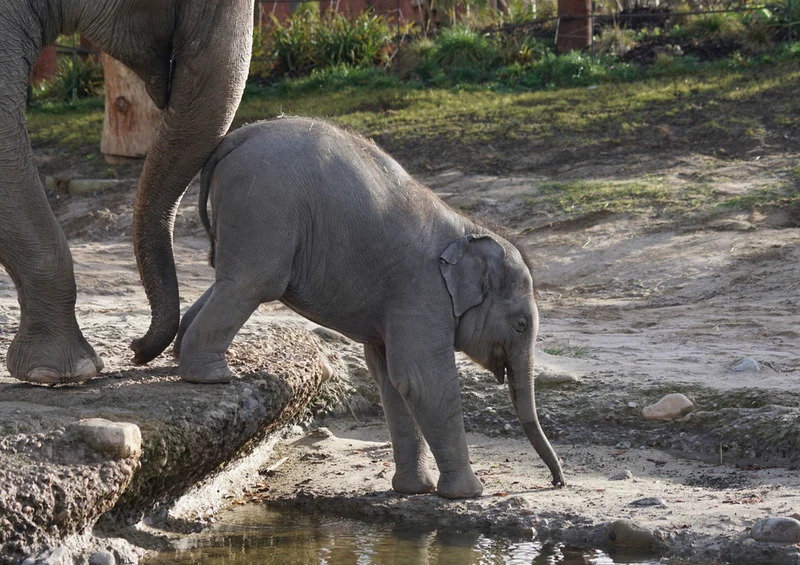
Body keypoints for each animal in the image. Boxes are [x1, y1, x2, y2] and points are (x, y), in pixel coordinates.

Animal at [175, 117, 566, 498]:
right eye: (520, 324)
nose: (557, 482)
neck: (469, 230)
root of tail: (236, 137)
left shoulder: (397, 305)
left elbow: (390, 379)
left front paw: (414, 490)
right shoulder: (421, 292)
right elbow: (421, 379)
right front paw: (469, 494)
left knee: (227, 281)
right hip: (264, 205)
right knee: (252, 283)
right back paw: (210, 376)